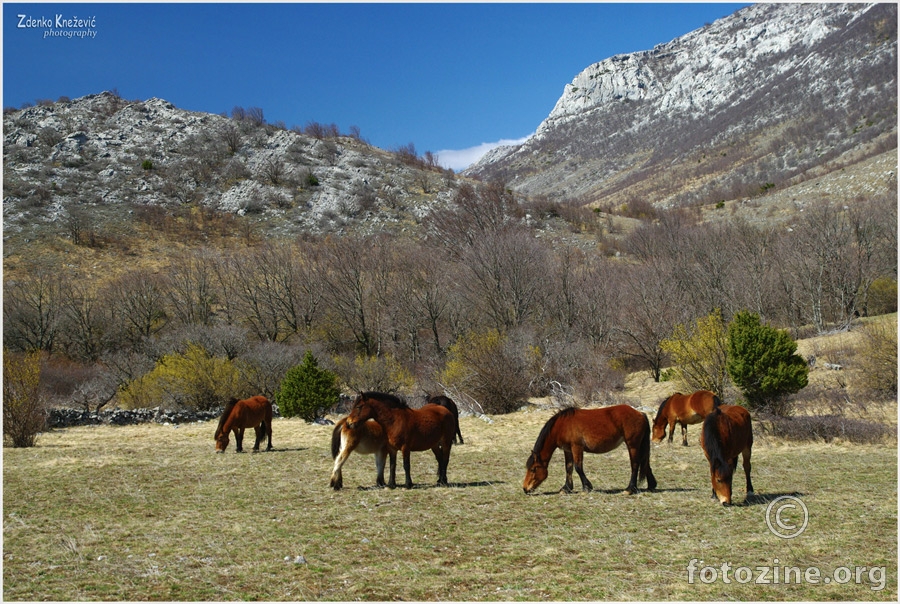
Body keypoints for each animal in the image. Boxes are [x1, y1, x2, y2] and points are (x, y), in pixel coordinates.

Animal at [524, 406, 656, 496]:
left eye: (533, 469)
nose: (525, 489)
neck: (562, 426)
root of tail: (640, 413)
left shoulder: (576, 447)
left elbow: (578, 467)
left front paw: (586, 487)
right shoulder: (568, 450)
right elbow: (569, 468)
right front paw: (566, 488)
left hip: (632, 445)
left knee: (635, 465)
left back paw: (629, 489)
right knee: (645, 463)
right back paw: (651, 485)